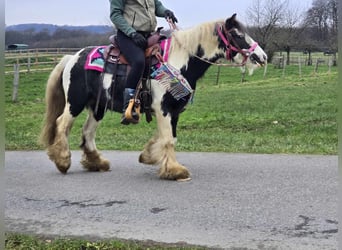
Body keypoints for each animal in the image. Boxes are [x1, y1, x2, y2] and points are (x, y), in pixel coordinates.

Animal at [38, 13, 268, 180]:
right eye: (238, 35)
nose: (262, 57)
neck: (177, 62)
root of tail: (72, 57)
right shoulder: (163, 109)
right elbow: (168, 139)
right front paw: (174, 170)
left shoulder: (175, 111)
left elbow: (170, 137)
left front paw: (149, 155)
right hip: (74, 103)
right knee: (62, 124)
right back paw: (63, 161)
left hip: (98, 107)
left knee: (87, 132)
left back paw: (97, 163)